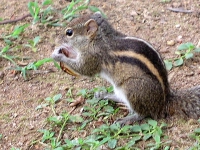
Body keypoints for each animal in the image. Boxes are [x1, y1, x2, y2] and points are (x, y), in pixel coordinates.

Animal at [52, 11, 200, 125]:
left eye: (69, 32)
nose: (56, 39)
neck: (101, 38)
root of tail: (164, 101)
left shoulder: (94, 57)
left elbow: (84, 69)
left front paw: (57, 55)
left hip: (132, 88)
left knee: (144, 113)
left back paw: (127, 119)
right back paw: (104, 95)